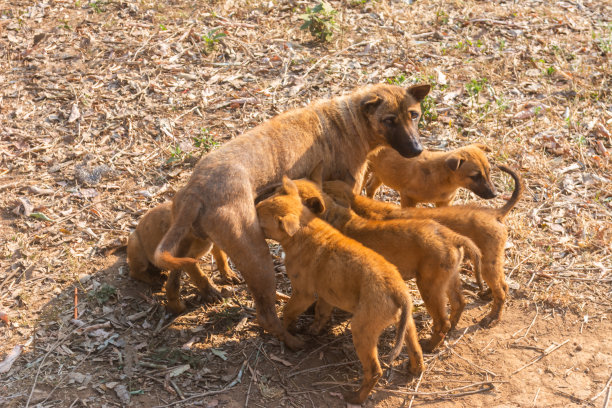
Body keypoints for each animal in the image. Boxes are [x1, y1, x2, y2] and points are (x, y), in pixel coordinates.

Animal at [153, 83, 430, 350]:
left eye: (414, 115)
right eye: (389, 120)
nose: (417, 149)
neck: (348, 121)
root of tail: (195, 189)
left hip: (193, 240)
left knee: (178, 273)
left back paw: (189, 297)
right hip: (258, 259)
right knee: (266, 316)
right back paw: (293, 341)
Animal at [256, 177, 424, 404]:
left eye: (260, 221)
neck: (304, 227)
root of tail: (397, 289)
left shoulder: (303, 293)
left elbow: (288, 311)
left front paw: (289, 330)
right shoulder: (327, 293)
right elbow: (321, 314)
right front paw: (313, 330)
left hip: (362, 330)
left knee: (374, 371)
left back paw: (356, 397)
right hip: (406, 326)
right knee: (416, 349)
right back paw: (414, 370)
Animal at [292, 166, 482, 350]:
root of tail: (453, 237)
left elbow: (321, 311)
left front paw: (312, 329)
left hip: (430, 287)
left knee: (442, 322)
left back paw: (429, 346)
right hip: (449, 279)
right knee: (459, 303)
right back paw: (450, 332)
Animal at [326, 164, 520, 326]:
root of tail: (495, 213)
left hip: (487, 263)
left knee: (502, 291)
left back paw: (492, 318)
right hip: (490, 263)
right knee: (502, 285)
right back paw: (486, 295)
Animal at [364, 143, 498, 207]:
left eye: (489, 171)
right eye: (475, 176)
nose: (494, 194)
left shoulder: (445, 203)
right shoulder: (408, 197)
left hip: (381, 173)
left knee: (370, 187)